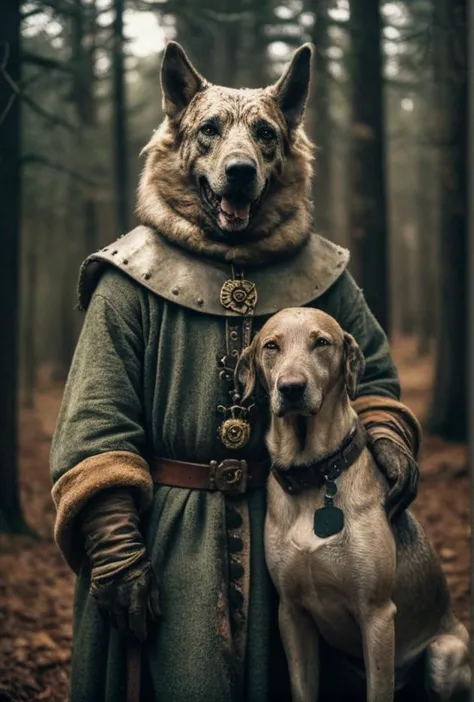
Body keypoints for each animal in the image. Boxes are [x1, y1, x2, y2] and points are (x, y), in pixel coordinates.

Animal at [239, 310, 468, 702]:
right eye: (271, 346)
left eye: (321, 342)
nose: (291, 388)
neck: (314, 475)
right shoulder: (292, 614)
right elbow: (302, 689)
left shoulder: (376, 615)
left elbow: (379, 689)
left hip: (444, 652)